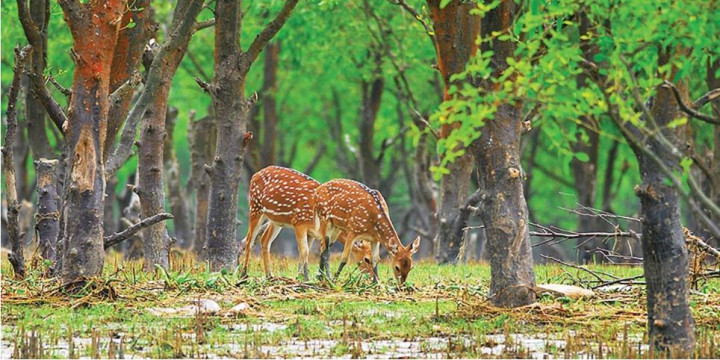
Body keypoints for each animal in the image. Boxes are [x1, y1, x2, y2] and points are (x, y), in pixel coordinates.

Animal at [242, 167, 374, 282]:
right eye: (367, 259)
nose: (373, 278)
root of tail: (254, 175)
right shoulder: (299, 223)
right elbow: (305, 251)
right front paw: (308, 278)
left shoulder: (313, 233)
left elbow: (311, 252)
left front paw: (303, 277)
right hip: (255, 208)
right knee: (249, 239)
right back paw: (244, 274)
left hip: (276, 220)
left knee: (265, 240)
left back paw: (269, 275)